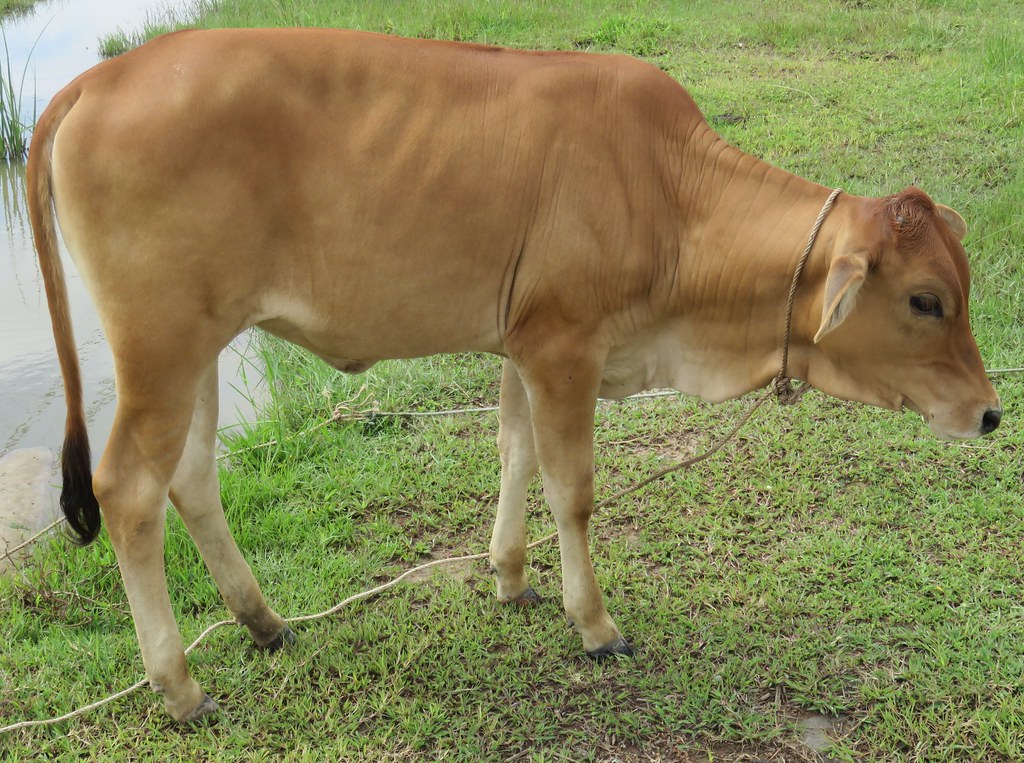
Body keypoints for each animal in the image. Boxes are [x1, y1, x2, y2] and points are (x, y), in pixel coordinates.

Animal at [28, 28, 1001, 722]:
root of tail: (95, 82)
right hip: (158, 346)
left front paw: (508, 575)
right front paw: (594, 622)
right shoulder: (564, 346)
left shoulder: (525, 347)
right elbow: (573, 487)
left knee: (191, 476)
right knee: (129, 492)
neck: (672, 197)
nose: (991, 413)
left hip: (198, 342)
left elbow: (516, 452)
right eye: (926, 300)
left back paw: (262, 621)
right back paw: (180, 686)